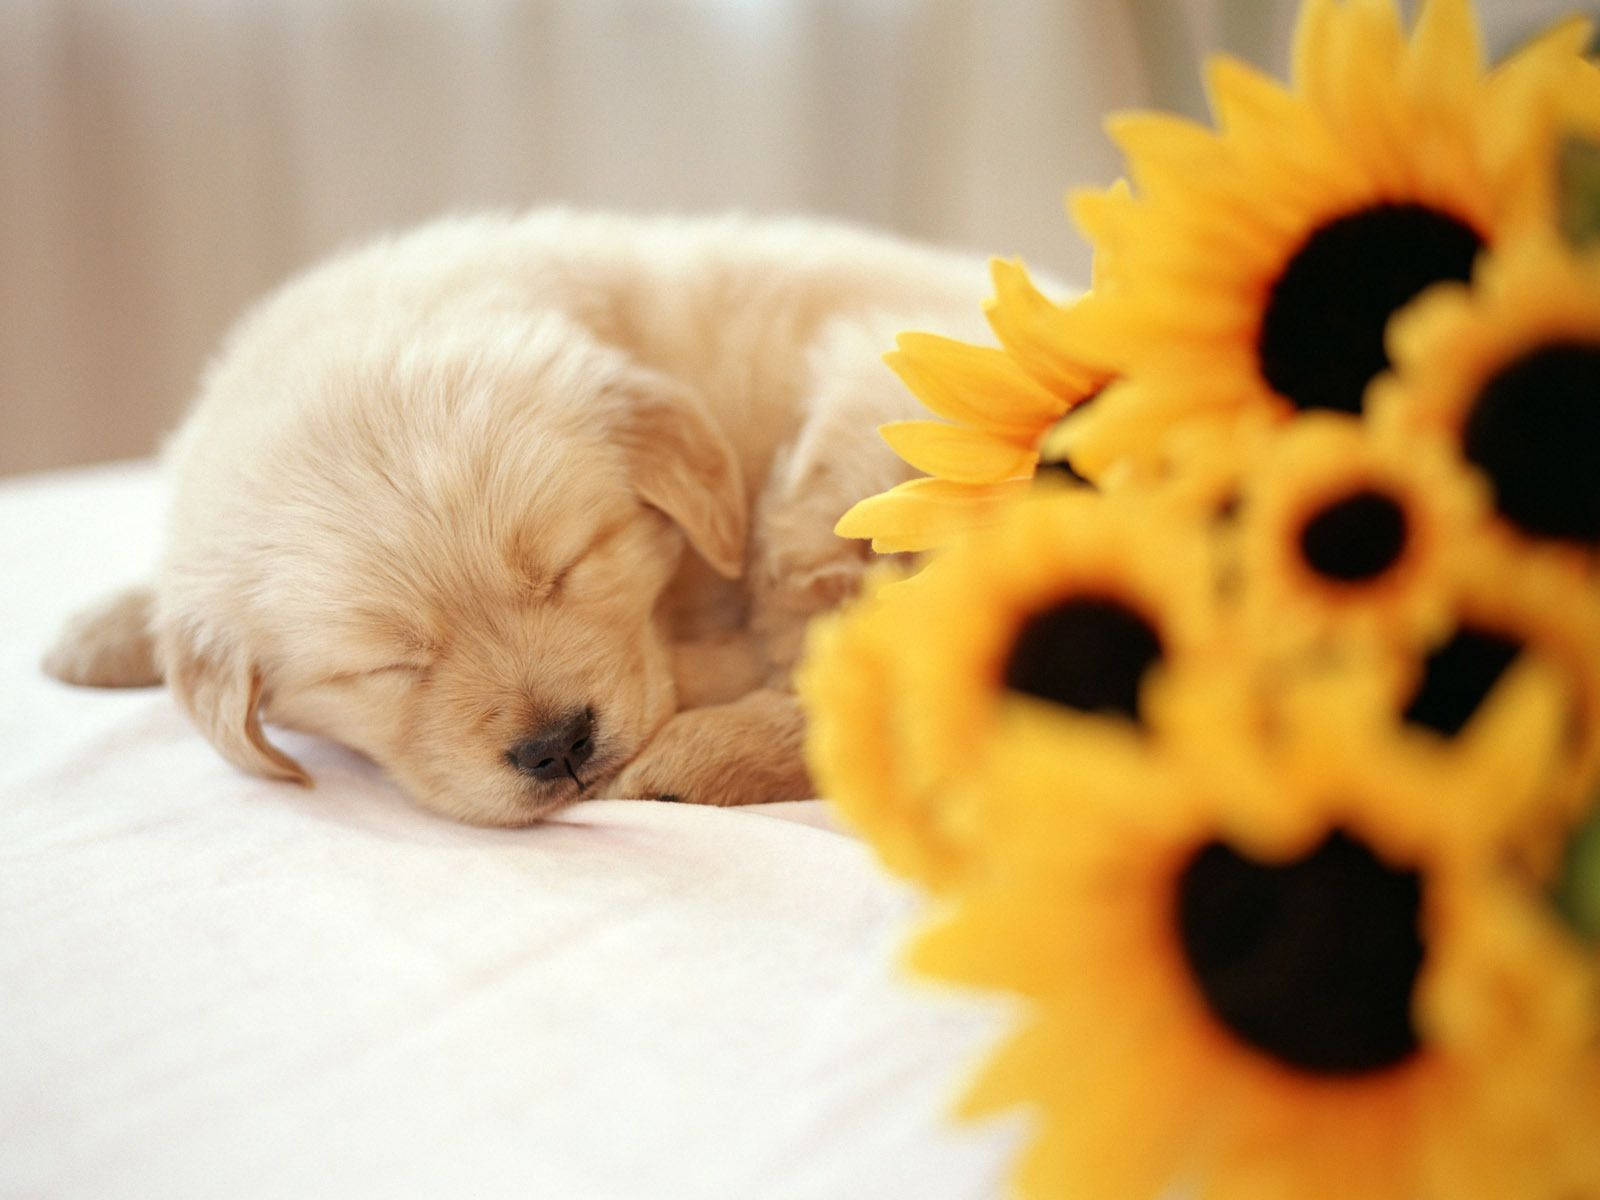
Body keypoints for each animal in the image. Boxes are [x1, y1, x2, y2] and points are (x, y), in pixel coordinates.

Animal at [43, 211, 992, 825]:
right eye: (392, 664)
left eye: (570, 565)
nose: (558, 746)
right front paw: (103, 632)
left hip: (855, 442)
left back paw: (685, 755)